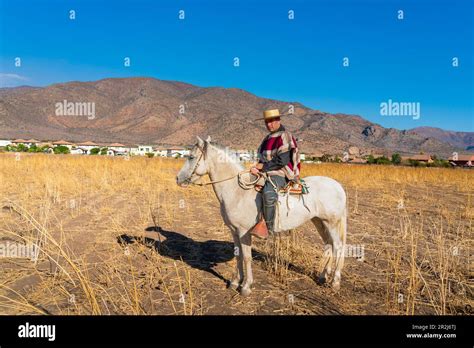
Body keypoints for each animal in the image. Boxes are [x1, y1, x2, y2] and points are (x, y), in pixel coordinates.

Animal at [176, 136, 346, 296]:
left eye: (191, 157)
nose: (178, 179)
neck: (238, 191)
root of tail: (338, 186)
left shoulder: (244, 232)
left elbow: (247, 257)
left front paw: (246, 287)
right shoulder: (234, 231)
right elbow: (238, 255)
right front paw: (235, 282)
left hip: (331, 222)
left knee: (338, 246)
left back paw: (335, 282)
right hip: (319, 221)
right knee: (329, 244)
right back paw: (323, 277)